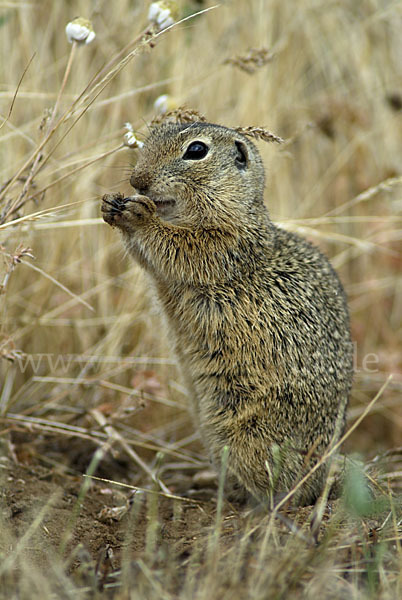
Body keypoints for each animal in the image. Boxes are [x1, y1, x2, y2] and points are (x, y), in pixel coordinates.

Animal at [102, 122, 354, 506]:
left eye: (196, 151)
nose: (137, 180)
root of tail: (322, 476)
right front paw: (110, 206)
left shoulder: (223, 245)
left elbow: (178, 247)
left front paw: (139, 216)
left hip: (245, 434)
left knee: (284, 488)